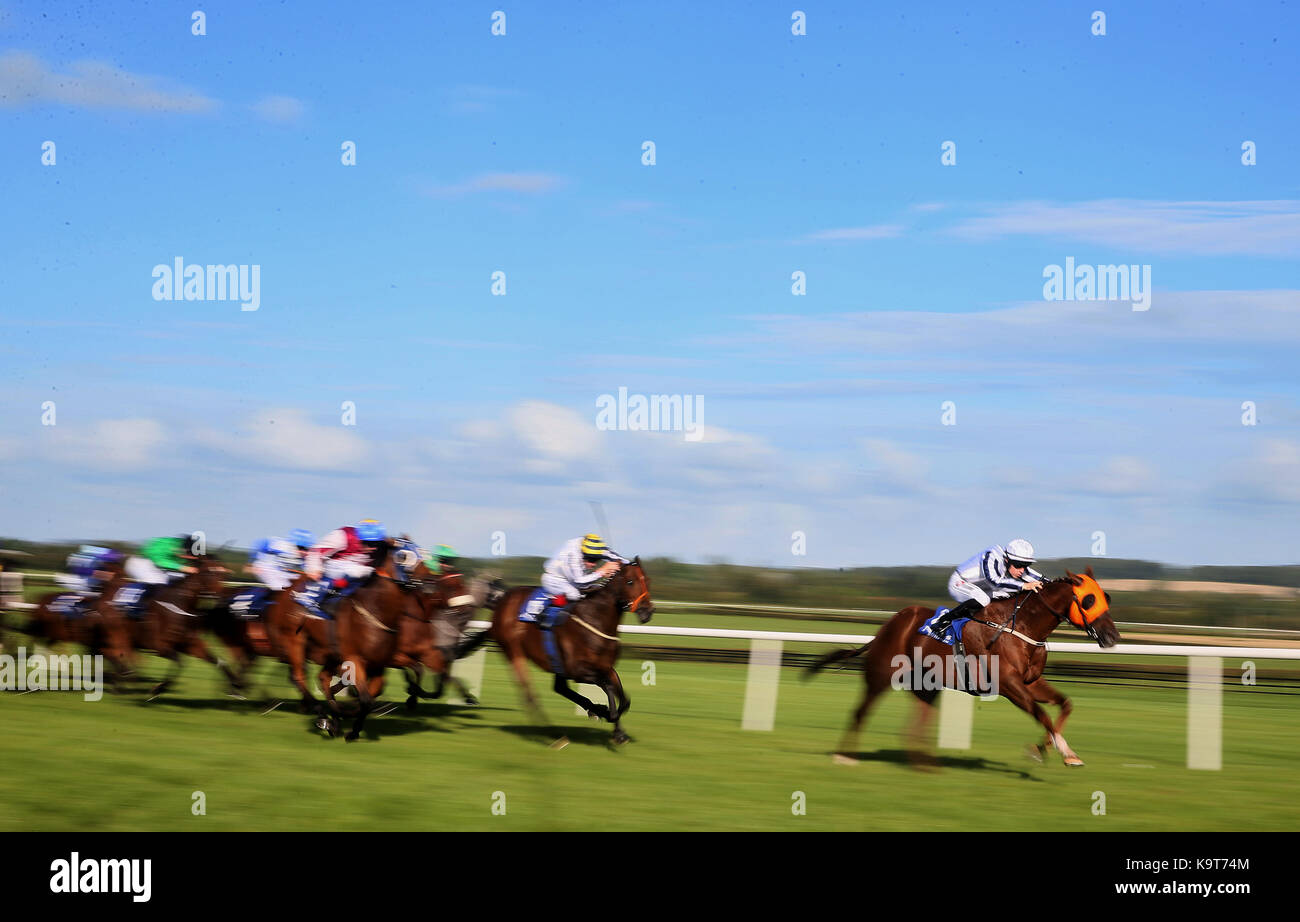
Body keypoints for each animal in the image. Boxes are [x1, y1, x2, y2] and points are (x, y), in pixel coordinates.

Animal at [457, 556, 660, 743]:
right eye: (630, 581)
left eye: (648, 581)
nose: (647, 611)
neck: (595, 619)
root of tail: (500, 604)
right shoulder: (577, 670)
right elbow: (609, 687)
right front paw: (610, 715)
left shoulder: (605, 667)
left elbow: (623, 698)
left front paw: (617, 730)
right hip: (514, 652)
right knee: (529, 693)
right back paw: (554, 736)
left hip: (554, 663)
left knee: (559, 687)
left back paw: (592, 710)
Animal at [800, 566, 1118, 769]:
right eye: (1089, 600)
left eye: (1107, 598)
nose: (1113, 637)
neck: (1021, 626)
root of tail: (887, 626)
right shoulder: (1008, 685)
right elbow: (1041, 714)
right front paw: (1060, 753)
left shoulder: (1030, 682)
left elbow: (1064, 705)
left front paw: (1046, 749)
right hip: (880, 675)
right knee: (860, 712)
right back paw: (845, 756)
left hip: (926, 686)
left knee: (914, 727)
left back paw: (926, 764)